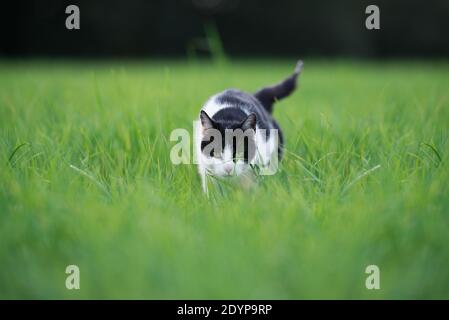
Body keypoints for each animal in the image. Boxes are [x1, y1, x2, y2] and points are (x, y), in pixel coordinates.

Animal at [194, 60, 302, 192]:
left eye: (240, 152)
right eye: (217, 153)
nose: (228, 168)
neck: (228, 117)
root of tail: (256, 96)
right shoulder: (206, 169)